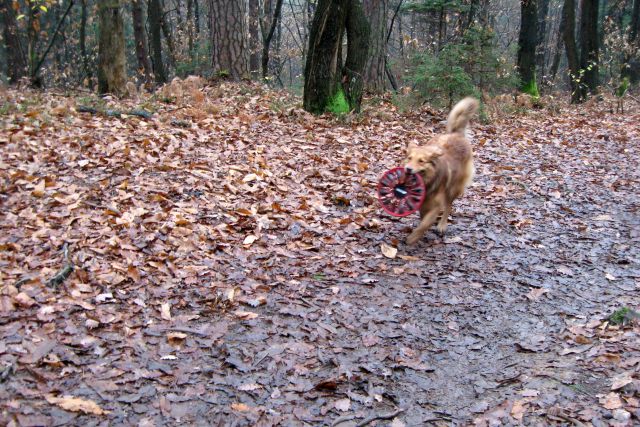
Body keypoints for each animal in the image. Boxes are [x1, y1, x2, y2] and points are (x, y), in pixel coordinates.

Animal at [402, 96, 478, 244]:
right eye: (409, 158)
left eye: (421, 161)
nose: (408, 169)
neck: (428, 182)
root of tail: (457, 134)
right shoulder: (423, 204)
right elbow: (423, 218)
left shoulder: (436, 205)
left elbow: (425, 223)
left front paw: (413, 238)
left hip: (453, 188)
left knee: (448, 206)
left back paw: (442, 225)